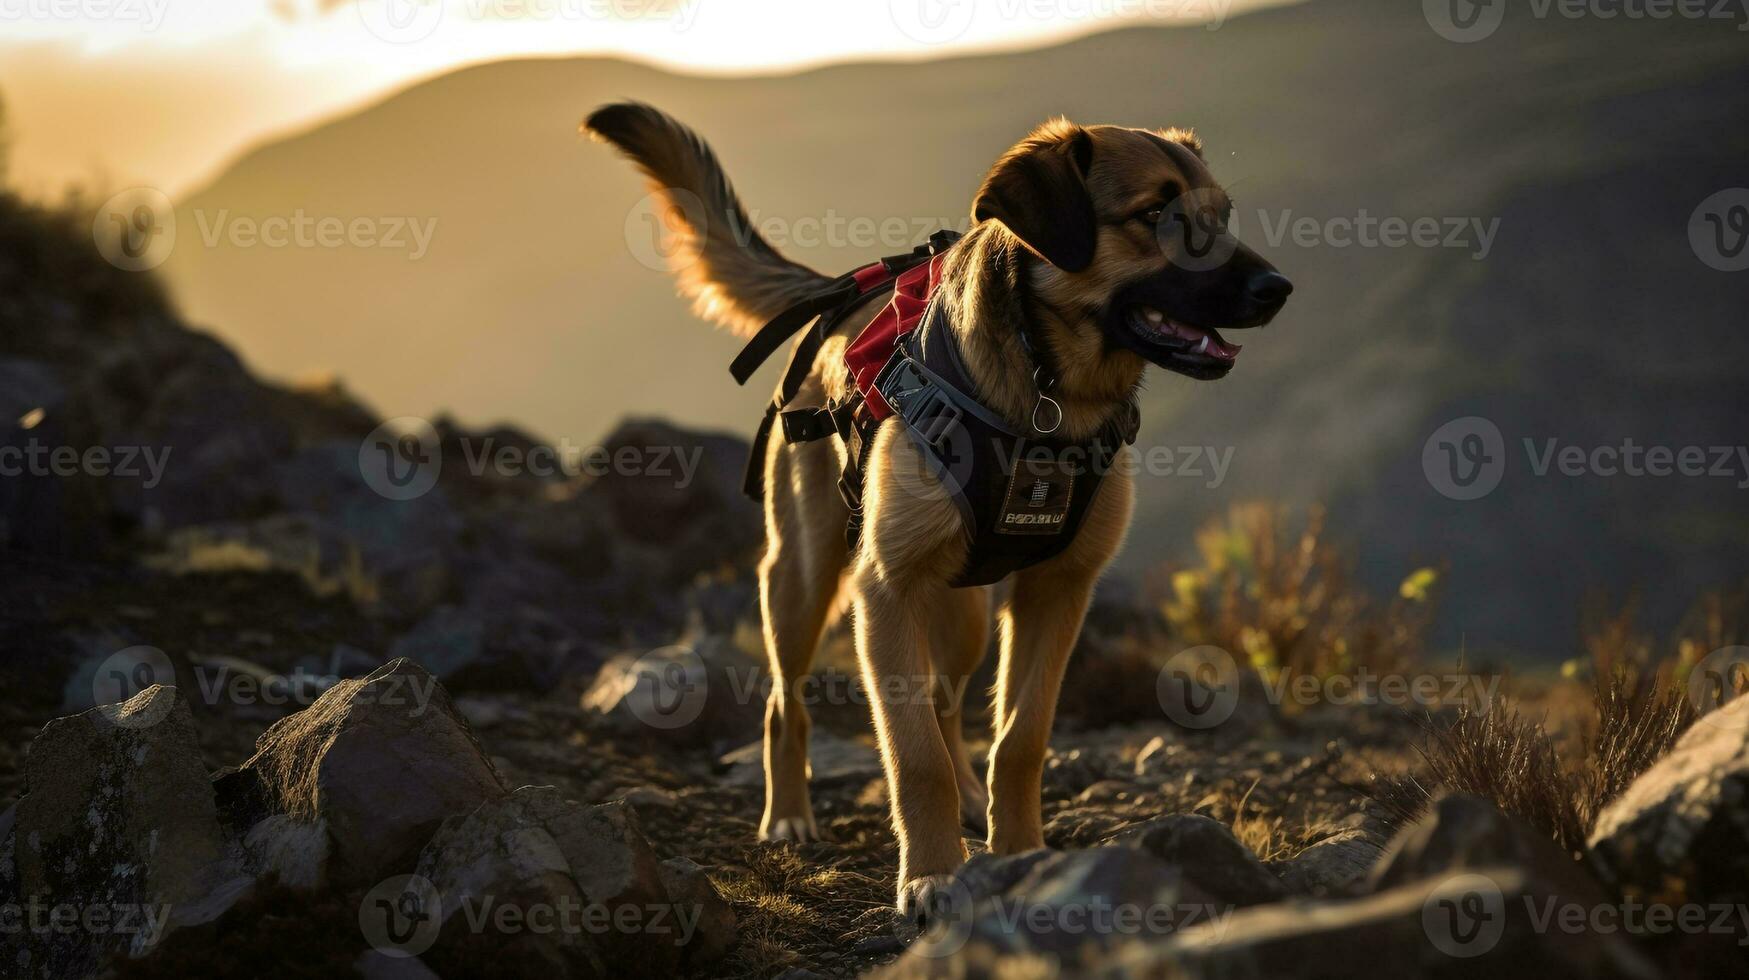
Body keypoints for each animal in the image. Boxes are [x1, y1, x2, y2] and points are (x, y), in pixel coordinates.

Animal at [587, 103, 1287, 917]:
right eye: (1155, 214)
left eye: (1221, 216)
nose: (1278, 288)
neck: (1045, 397)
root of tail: (840, 297)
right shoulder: (886, 589)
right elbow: (911, 752)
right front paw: (929, 873)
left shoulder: (1057, 591)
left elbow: (1019, 738)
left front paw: (1018, 852)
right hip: (802, 578)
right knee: (787, 703)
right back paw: (789, 815)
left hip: (965, 613)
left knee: (947, 706)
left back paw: (968, 801)